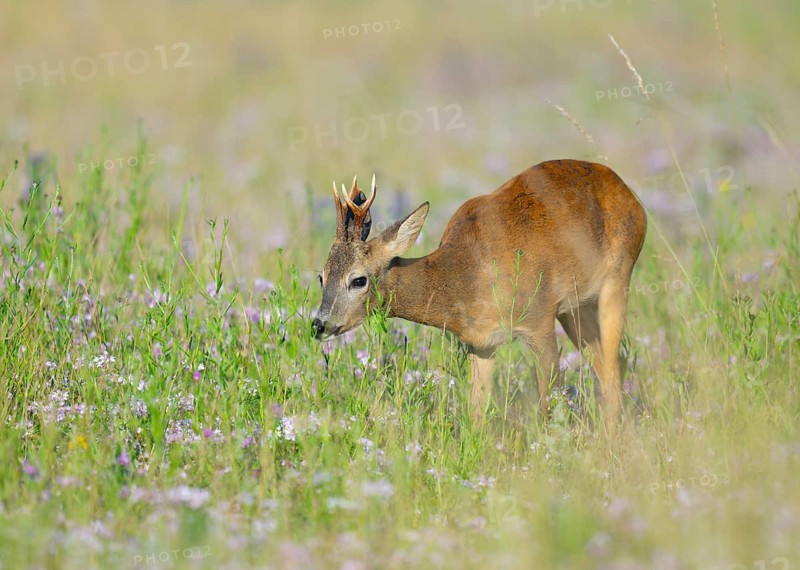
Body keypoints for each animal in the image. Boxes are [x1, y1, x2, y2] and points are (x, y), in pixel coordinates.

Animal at [312, 159, 647, 427]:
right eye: (321, 277)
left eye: (358, 280)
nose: (318, 325)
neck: (468, 277)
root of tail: (629, 193)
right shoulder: (481, 343)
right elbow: (475, 412)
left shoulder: (539, 320)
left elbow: (549, 404)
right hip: (574, 309)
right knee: (603, 363)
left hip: (618, 276)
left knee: (613, 362)